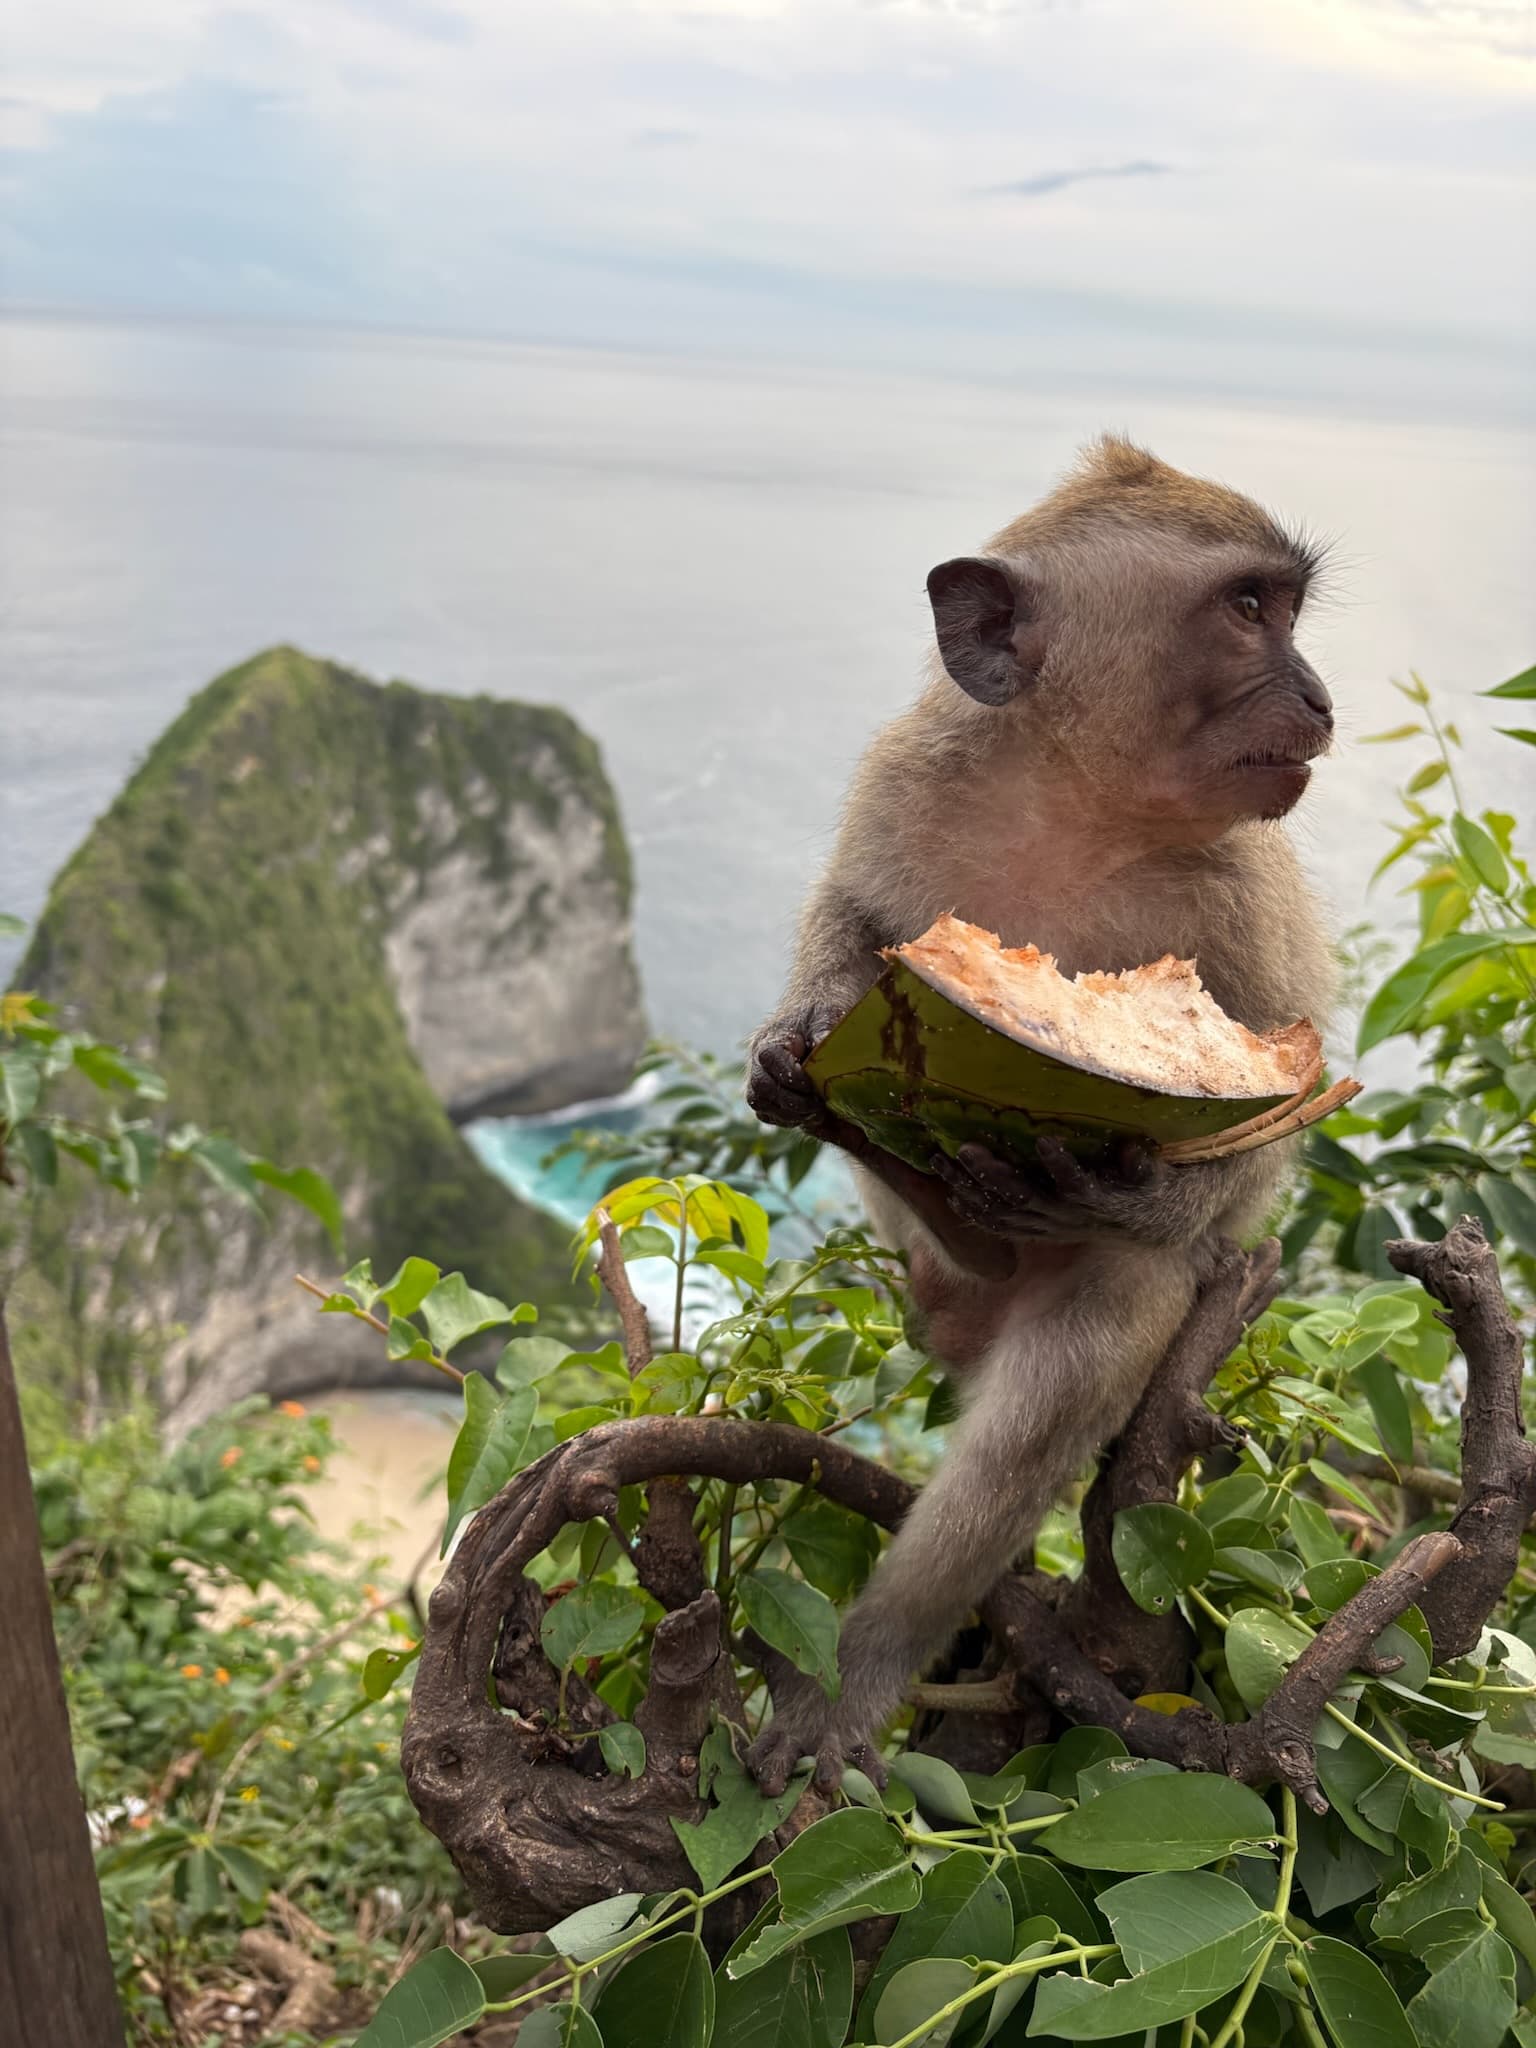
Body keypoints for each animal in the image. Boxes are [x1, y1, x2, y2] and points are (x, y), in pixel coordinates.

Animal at [744, 435, 1337, 1795]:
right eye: (1249, 608)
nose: (1322, 698)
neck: (1078, 807)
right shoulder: (908, 776)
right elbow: (854, 918)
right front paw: (792, 1044)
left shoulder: (1244, 889)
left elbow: (1276, 1107)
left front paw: (1128, 1183)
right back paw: (929, 1191)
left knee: (1070, 1369)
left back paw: (865, 1664)